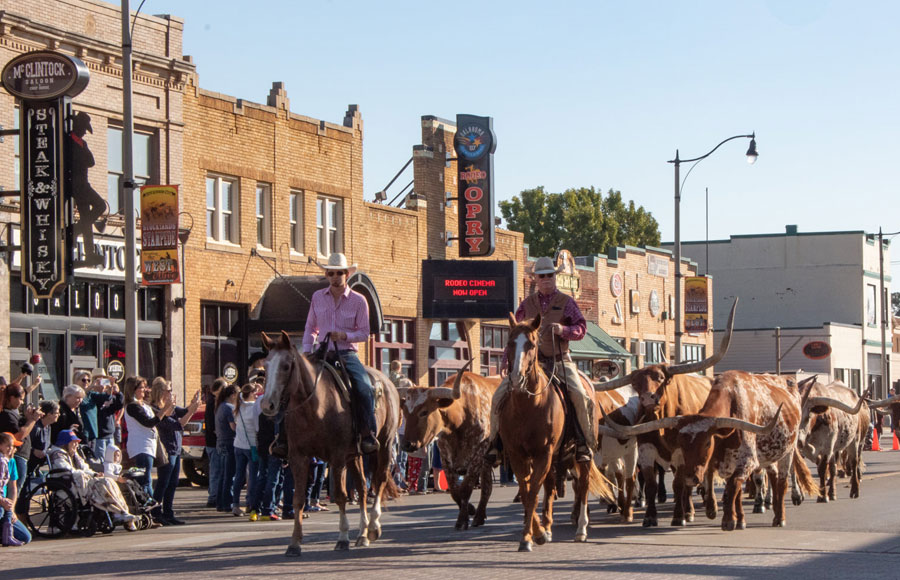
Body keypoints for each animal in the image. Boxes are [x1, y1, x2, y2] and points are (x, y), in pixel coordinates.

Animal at [260, 328, 400, 556]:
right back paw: (362, 534)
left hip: (384, 445)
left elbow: (341, 495)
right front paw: (294, 542)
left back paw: (372, 527)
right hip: (355, 455)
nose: (267, 405)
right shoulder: (298, 457)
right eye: (265, 366)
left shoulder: (337, 457)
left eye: (286, 366)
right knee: (362, 488)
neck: (315, 407)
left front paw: (342, 538)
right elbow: (298, 499)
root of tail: (386, 382)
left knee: (379, 481)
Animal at [496, 314, 616, 552]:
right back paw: (549, 526)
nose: (516, 378)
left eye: (531, 344)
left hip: (583, 453)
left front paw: (530, 538)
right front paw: (537, 533)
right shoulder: (517, 455)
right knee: (551, 486)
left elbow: (533, 492)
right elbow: (526, 491)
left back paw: (581, 529)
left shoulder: (543, 453)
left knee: (582, 485)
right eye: (510, 343)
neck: (527, 407)